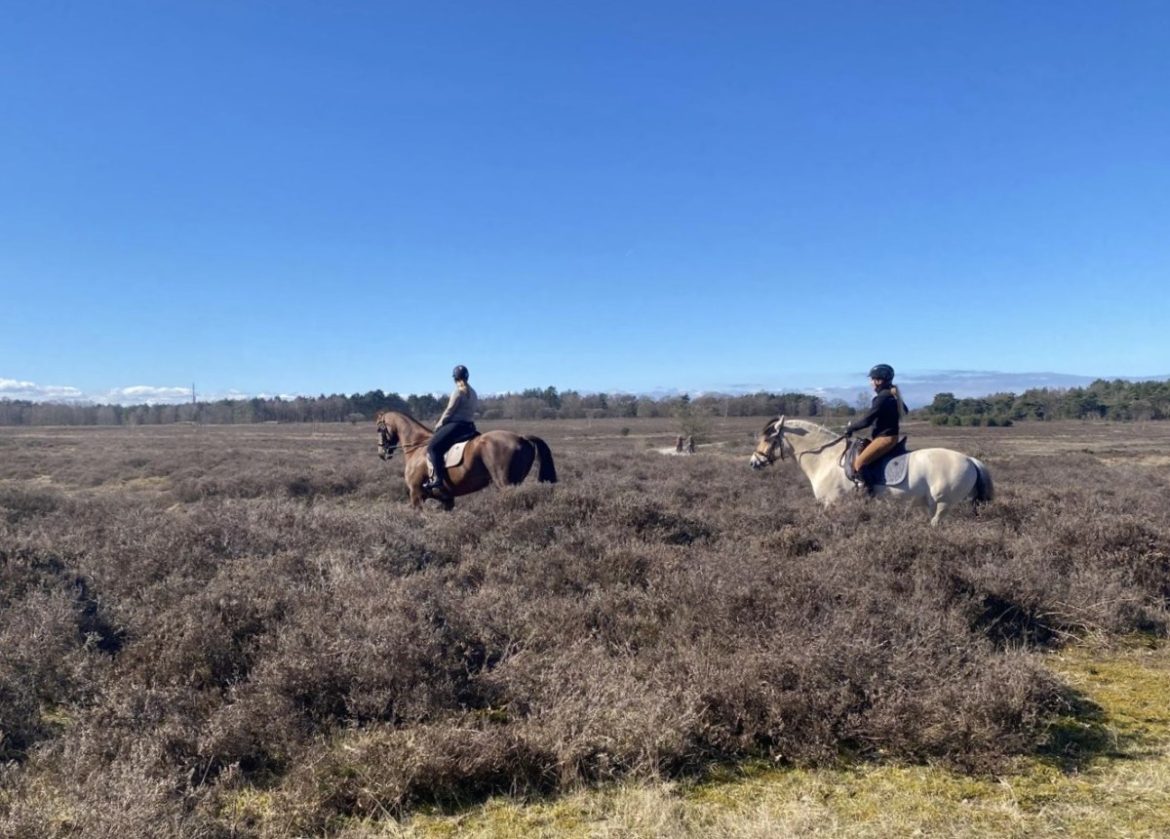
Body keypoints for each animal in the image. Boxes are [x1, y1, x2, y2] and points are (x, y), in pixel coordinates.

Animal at [374, 409, 556, 507]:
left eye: (379, 429)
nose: (381, 453)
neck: (417, 445)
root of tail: (521, 437)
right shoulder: (446, 499)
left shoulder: (416, 494)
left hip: (505, 483)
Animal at [748, 416, 996, 526]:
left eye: (768, 438)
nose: (754, 462)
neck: (826, 458)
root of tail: (970, 459)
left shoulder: (832, 504)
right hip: (932, 504)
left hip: (943, 504)